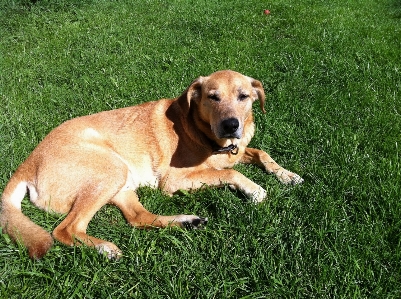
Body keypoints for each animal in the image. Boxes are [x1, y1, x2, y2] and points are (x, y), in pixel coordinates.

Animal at [0, 71, 302, 260]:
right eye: (212, 97)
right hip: (111, 169)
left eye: (244, 96)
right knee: (66, 230)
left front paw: (286, 175)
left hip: (121, 183)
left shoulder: (237, 150)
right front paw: (254, 189)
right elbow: (231, 171)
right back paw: (104, 249)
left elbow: (260, 153)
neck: (203, 131)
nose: (231, 124)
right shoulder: (173, 180)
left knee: (137, 218)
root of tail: (27, 164)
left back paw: (187, 221)